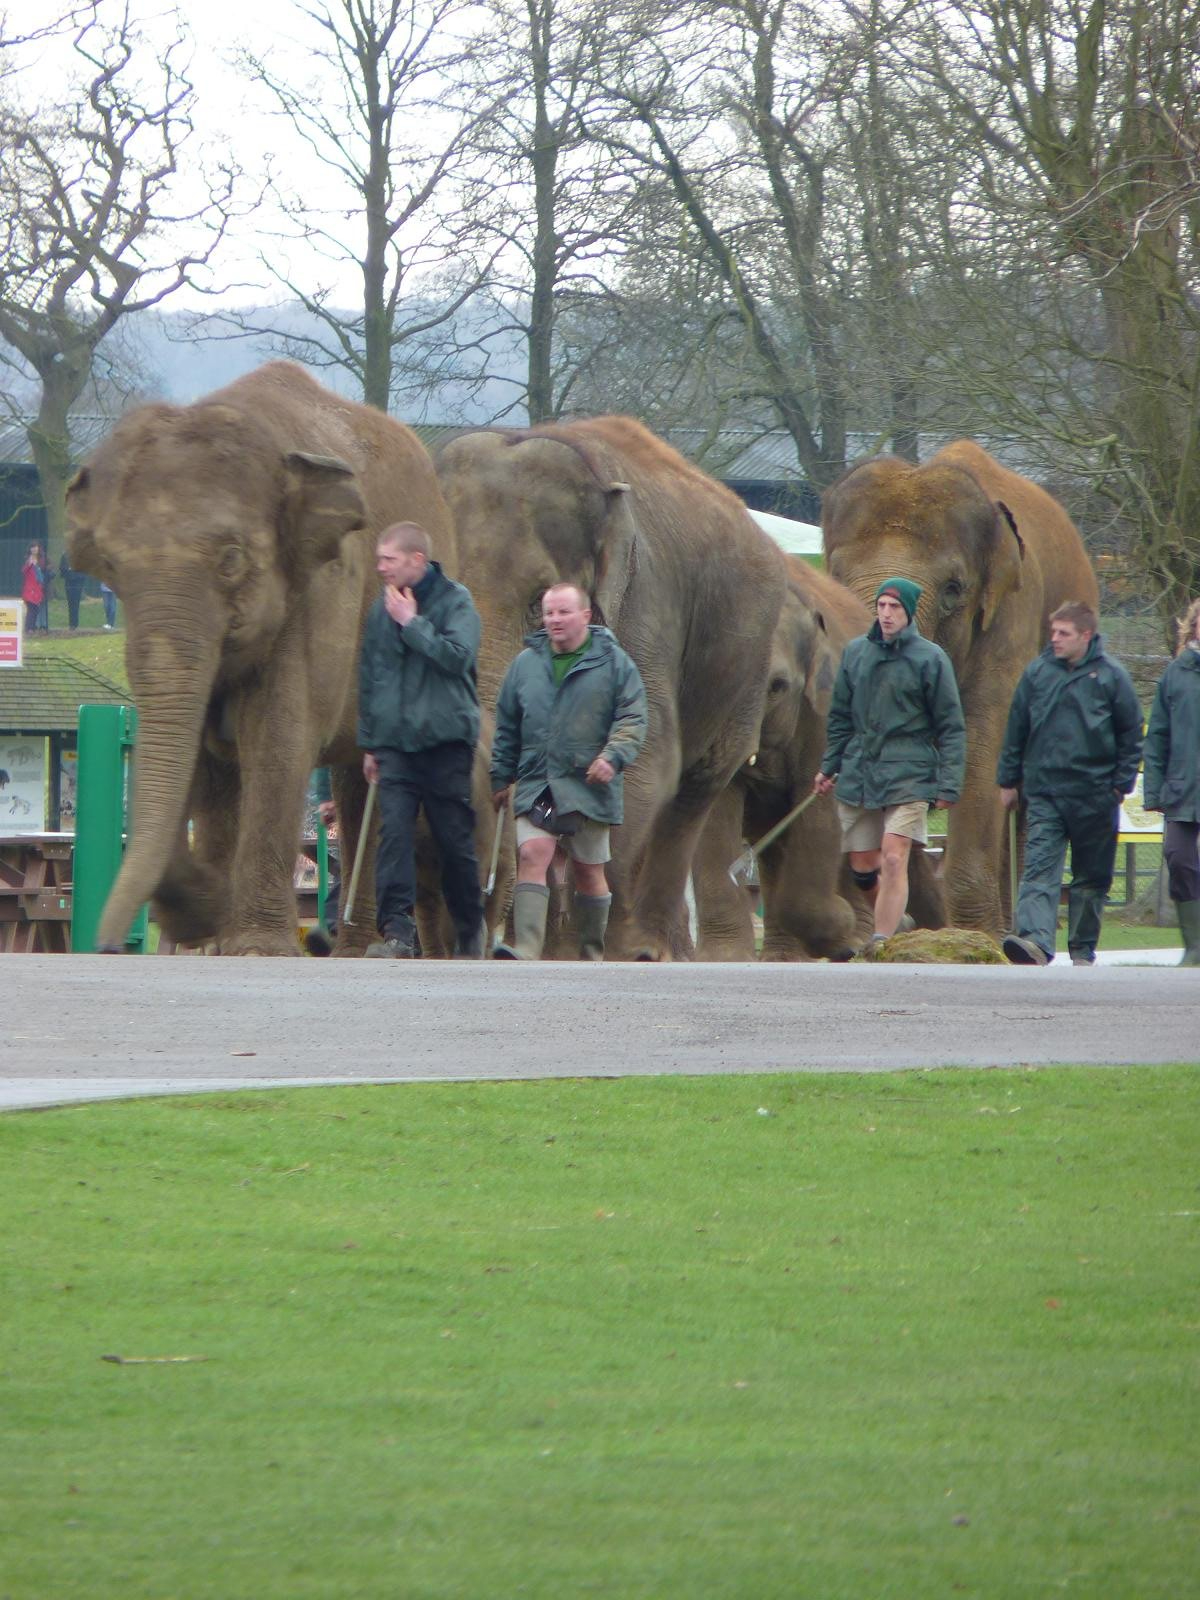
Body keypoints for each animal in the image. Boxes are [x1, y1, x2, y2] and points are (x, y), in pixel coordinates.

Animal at [66, 360, 507, 956]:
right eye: (111, 565)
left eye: (231, 560)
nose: (108, 945)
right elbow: (202, 758)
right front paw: (206, 928)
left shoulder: (318, 592)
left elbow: (276, 737)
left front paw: (251, 945)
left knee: (364, 782)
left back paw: (359, 949)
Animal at [435, 418, 787, 960]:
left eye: (542, 602)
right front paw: (533, 951)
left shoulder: (644, 604)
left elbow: (643, 766)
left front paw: (576, 953)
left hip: (746, 663)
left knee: (694, 791)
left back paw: (649, 951)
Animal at [822, 440, 1099, 933]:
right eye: (834, 576)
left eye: (954, 589)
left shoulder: (1011, 621)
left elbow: (981, 745)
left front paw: (972, 935)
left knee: (1023, 804)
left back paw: (1011, 937)